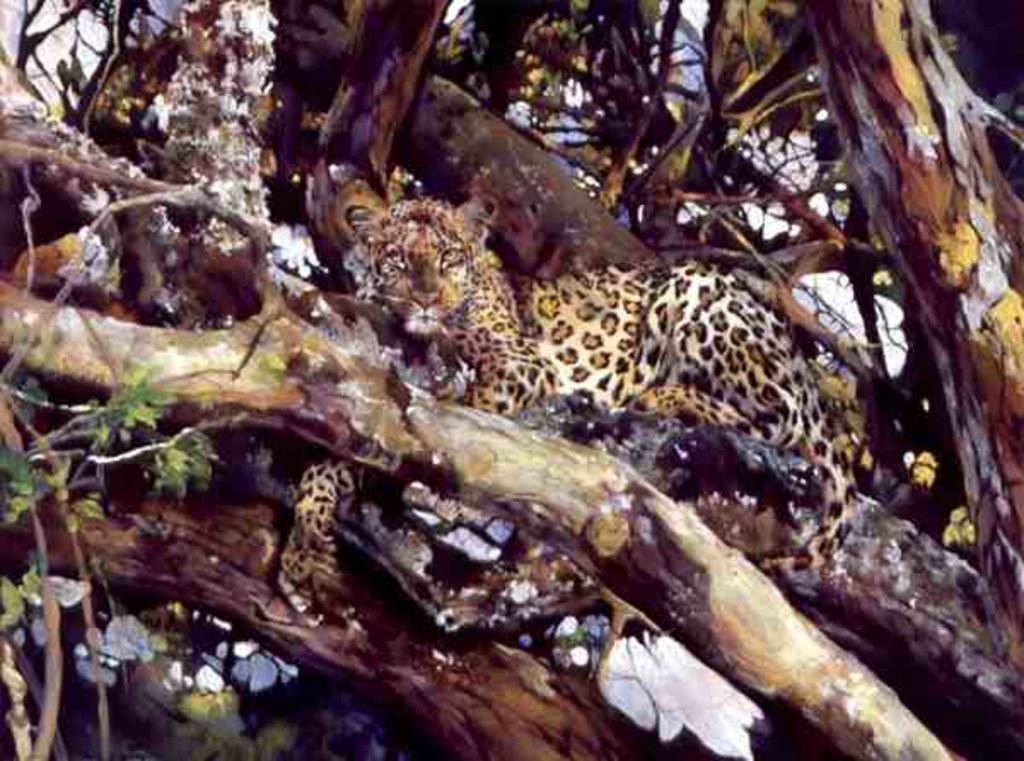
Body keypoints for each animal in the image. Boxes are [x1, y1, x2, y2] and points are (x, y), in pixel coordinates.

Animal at [279, 198, 856, 612]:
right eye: (398, 259)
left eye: (448, 259)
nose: (425, 299)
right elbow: (337, 457)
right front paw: (304, 554)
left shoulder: (519, 364)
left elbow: (467, 423)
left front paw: (447, 491)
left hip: (696, 291)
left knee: (776, 421)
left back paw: (662, 395)